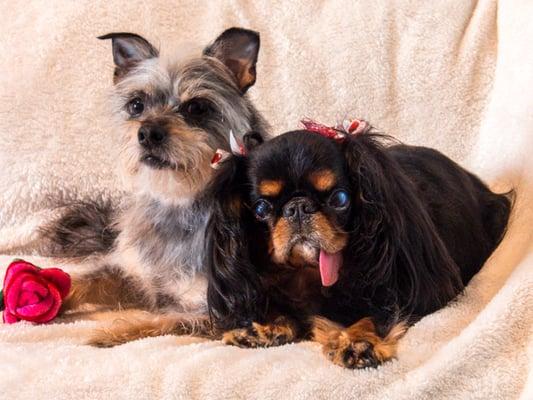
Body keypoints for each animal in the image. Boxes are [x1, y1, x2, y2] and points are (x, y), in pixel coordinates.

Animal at [205, 128, 512, 368]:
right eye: (260, 208)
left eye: (340, 199)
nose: (298, 207)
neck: (309, 274)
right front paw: (263, 328)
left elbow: (374, 315)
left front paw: (358, 340)